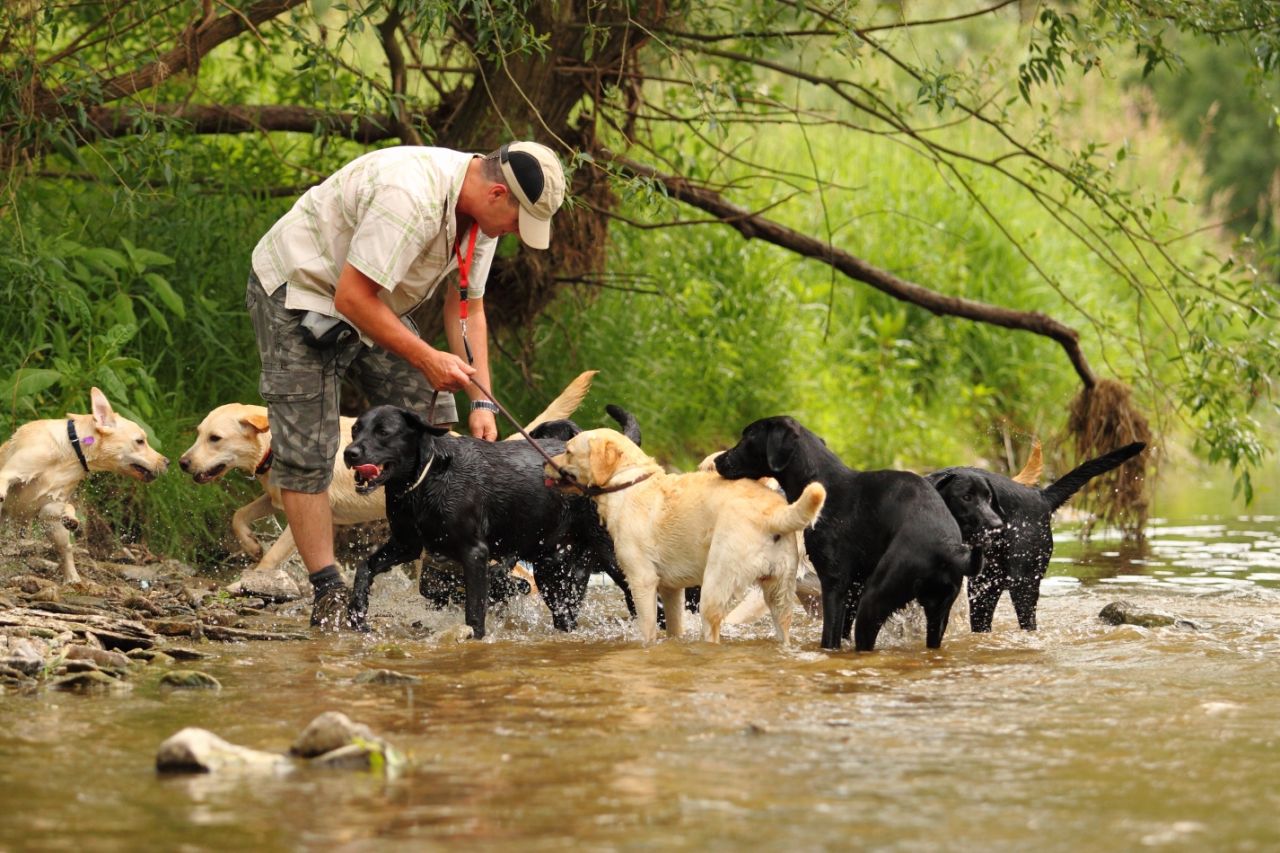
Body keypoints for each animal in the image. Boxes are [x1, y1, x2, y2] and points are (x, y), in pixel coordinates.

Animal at [0, 386, 170, 581]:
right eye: (140, 441)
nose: (167, 462)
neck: (71, 452)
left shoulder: (48, 506)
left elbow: (67, 507)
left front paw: (70, 517)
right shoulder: (11, 472)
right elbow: (4, 481)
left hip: (55, 531)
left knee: (65, 550)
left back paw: (73, 579)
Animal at [177, 371, 596, 573]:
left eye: (215, 438)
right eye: (198, 433)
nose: (182, 463)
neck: (274, 445)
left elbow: (273, 556)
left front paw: (251, 576)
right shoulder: (273, 496)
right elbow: (239, 515)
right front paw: (250, 544)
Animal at [545, 427, 824, 640]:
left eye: (568, 451)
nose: (544, 464)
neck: (627, 482)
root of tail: (774, 513)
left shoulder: (642, 580)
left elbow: (647, 631)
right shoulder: (671, 589)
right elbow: (674, 629)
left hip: (715, 587)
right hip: (781, 596)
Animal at [716, 414, 972, 648]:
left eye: (747, 437)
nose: (718, 460)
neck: (821, 482)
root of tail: (949, 549)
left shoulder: (834, 584)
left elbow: (830, 639)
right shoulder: (853, 588)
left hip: (874, 601)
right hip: (937, 614)